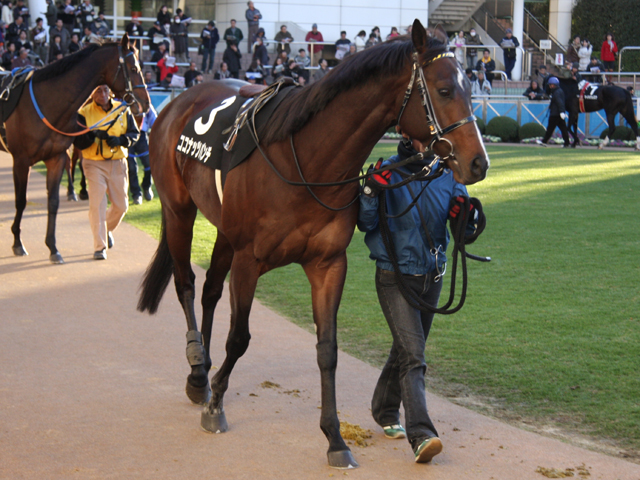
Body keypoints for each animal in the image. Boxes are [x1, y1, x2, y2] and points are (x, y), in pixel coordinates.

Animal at [6, 34, 150, 263]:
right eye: (134, 68)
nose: (145, 103)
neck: (46, 103)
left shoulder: (55, 158)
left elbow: (53, 202)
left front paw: (53, 248)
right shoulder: (21, 161)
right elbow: (21, 201)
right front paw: (18, 243)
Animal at [137, 20, 489, 469]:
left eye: (470, 88)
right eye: (444, 90)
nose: (479, 162)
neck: (305, 161)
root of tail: (177, 102)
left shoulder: (328, 264)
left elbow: (328, 349)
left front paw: (335, 438)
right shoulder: (249, 260)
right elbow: (240, 338)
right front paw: (216, 405)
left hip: (224, 232)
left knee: (211, 290)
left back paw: (202, 374)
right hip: (179, 210)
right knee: (185, 284)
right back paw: (200, 371)